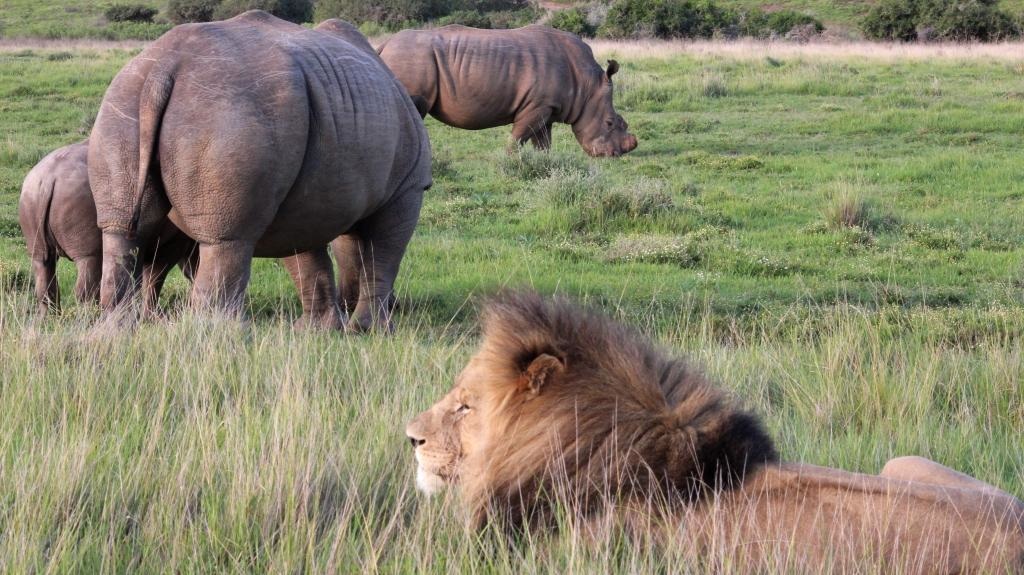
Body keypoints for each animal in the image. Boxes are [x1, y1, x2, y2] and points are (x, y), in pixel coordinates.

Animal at [18, 141, 197, 315]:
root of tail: (50, 179)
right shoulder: (171, 245)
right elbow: (155, 279)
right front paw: (151, 317)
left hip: (33, 218)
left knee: (45, 281)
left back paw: (50, 319)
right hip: (89, 250)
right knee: (85, 288)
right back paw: (92, 317)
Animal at [88, 11, 431, 331]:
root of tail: (164, 69)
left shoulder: (305, 194)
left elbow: (309, 256)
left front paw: (319, 330)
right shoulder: (408, 188)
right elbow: (381, 256)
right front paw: (371, 330)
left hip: (125, 101)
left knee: (123, 229)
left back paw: (116, 332)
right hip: (228, 110)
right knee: (227, 239)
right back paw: (226, 335)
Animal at [378, 25, 638, 157]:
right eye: (610, 123)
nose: (616, 154)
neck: (587, 86)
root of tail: (385, 44)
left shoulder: (548, 107)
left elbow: (543, 141)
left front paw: (543, 163)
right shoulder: (536, 105)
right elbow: (519, 136)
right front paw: (509, 162)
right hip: (411, 57)